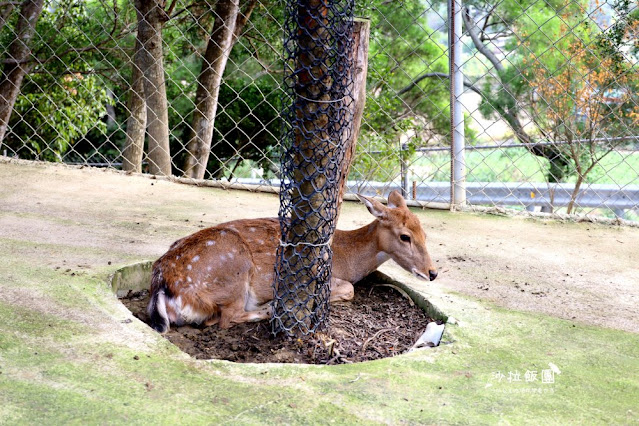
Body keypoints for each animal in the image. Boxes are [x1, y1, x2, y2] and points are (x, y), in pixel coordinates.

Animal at [148, 190, 438, 332]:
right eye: (405, 236)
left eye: (425, 233)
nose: (432, 272)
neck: (348, 257)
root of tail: (163, 287)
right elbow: (349, 289)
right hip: (234, 272)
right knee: (223, 320)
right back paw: (271, 308)